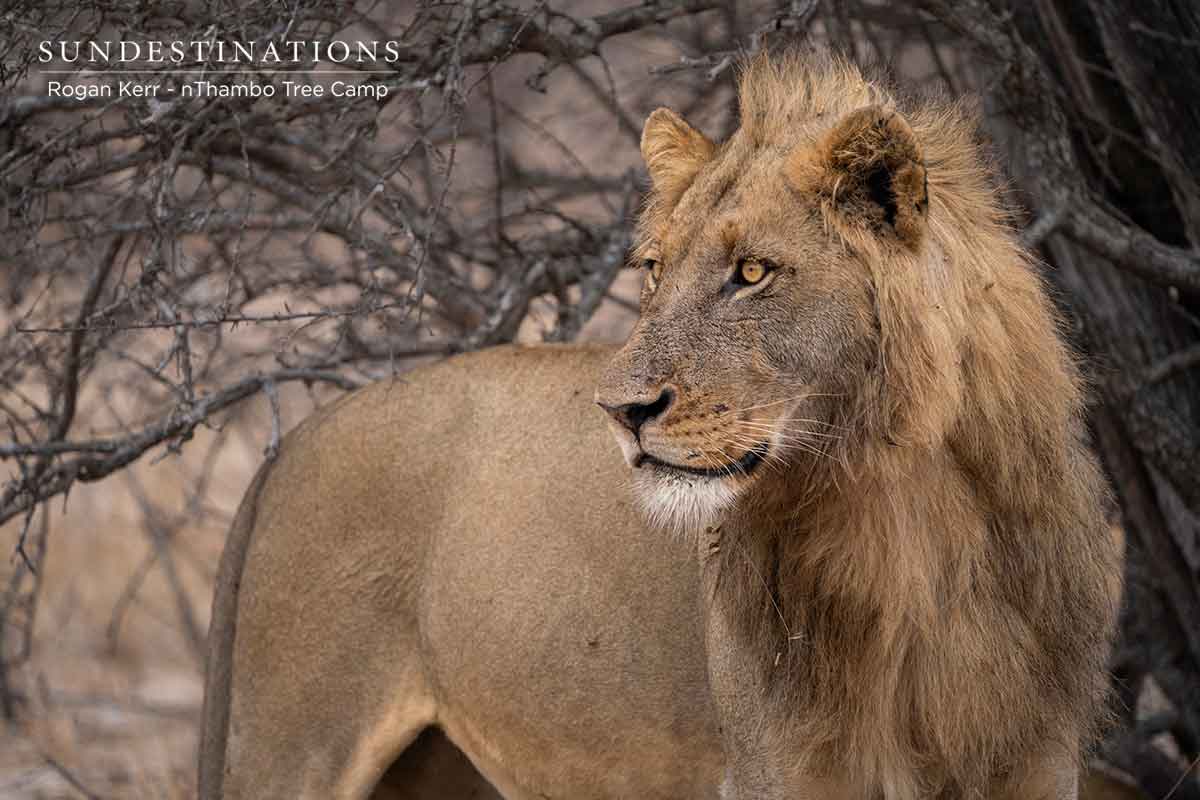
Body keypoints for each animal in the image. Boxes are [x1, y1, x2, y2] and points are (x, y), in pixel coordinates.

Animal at [199, 53, 1129, 799]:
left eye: (751, 272)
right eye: (653, 270)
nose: (619, 410)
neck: (902, 508)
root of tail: (290, 445)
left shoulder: (1036, 760)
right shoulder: (775, 767)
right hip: (296, 745)